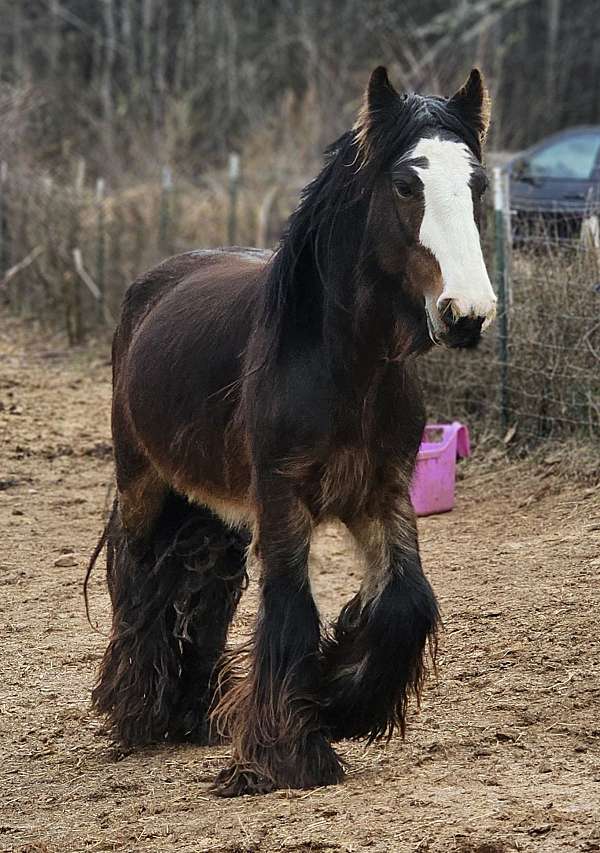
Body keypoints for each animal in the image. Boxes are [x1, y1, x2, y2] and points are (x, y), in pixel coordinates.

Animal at [88, 66, 496, 797]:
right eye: (406, 184)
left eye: (476, 184)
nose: (467, 313)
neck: (345, 369)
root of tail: (151, 285)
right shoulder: (283, 496)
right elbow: (291, 610)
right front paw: (288, 753)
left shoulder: (382, 491)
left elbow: (406, 601)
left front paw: (340, 703)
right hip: (143, 480)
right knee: (136, 575)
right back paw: (138, 711)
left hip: (214, 507)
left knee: (207, 586)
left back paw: (193, 713)